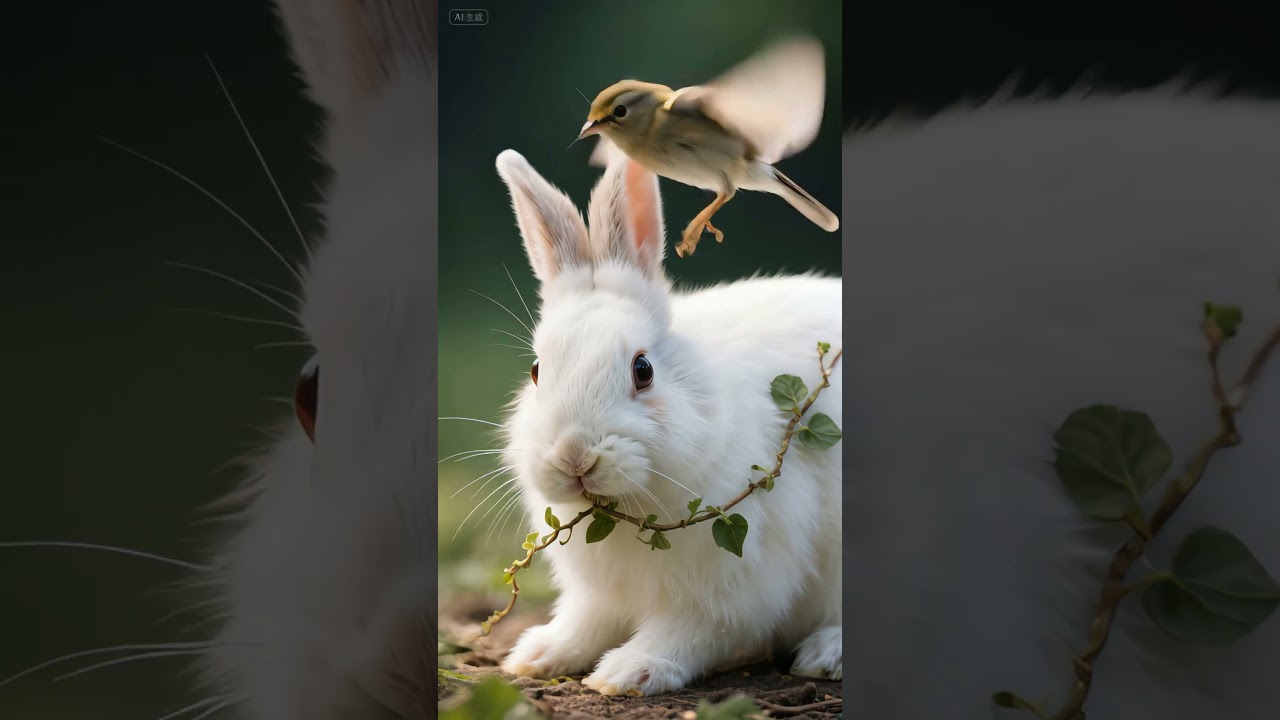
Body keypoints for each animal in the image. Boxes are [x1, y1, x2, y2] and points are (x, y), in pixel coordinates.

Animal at [491, 149, 844, 696]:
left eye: (643, 370)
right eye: (535, 371)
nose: (574, 458)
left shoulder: (734, 584)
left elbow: (690, 632)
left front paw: (627, 672)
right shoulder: (597, 593)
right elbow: (586, 622)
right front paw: (537, 655)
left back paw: (825, 653)